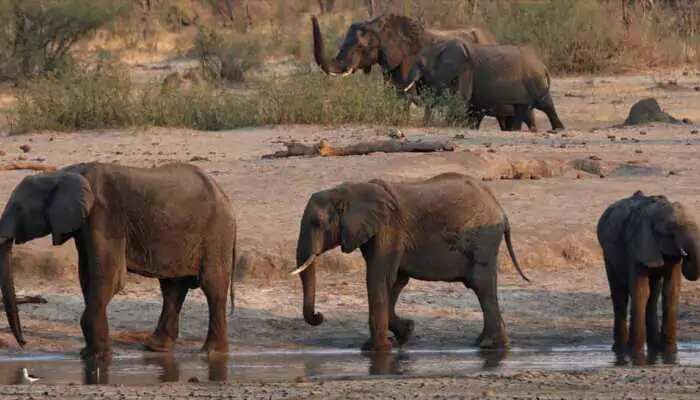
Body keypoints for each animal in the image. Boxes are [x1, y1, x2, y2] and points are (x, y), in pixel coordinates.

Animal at [0, 162, 236, 360]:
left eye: (19, 208)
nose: (24, 343)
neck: (65, 173)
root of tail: (224, 195)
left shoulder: (104, 215)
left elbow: (109, 276)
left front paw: (97, 356)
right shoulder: (85, 224)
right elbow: (87, 275)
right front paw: (91, 353)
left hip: (217, 232)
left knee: (212, 286)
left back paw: (211, 353)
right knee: (172, 287)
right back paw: (156, 348)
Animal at [292, 173, 529, 352]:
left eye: (317, 223)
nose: (319, 316)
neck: (349, 191)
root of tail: (501, 210)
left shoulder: (388, 229)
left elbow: (379, 279)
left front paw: (375, 349)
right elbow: (396, 281)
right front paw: (406, 332)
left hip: (483, 239)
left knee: (481, 284)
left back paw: (489, 345)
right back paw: (484, 343)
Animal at [310, 14, 497, 123]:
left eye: (361, 48)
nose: (313, 16)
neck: (380, 27)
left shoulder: (409, 58)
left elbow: (405, 92)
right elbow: (393, 91)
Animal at [405, 39, 565, 131]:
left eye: (421, 64)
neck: (439, 47)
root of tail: (542, 65)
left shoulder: (465, 70)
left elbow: (460, 99)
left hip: (535, 81)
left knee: (545, 104)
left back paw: (558, 129)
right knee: (522, 108)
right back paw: (515, 130)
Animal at [597, 191, 700, 358]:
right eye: (670, 228)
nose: (686, 255)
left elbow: (671, 291)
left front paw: (670, 353)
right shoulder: (637, 245)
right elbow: (640, 291)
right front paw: (635, 354)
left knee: (653, 295)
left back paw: (654, 347)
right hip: (608, 253)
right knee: (620, 295)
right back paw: (619, 349)